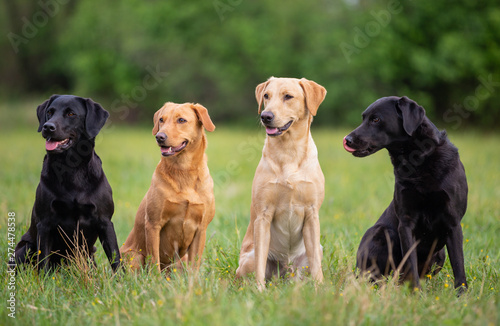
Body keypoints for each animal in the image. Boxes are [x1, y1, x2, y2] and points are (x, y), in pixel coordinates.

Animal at [14, 95, 121, 272]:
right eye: (50, 112)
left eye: (71, 114)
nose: (47, 126)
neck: (71, 168)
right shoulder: (45, 223)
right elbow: (43, 260)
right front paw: (44, 280)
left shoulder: (105, 221)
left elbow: (115, 257)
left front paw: (121, 278)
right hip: (25, 247)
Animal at [122, 103, 216, 272]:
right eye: (161, 119)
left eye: (181, 120)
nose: (159, 136)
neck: (184, 171)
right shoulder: (153, 224)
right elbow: (154, 262)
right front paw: (155, 279)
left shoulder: (201, 229)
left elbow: (195, 265)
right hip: (134, 257)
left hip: (181, 260)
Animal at [235, 77, 328, 290]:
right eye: (266, 96)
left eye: (288, 96)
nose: (265, 116)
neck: (289, 150)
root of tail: (286, 271)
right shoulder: (263, 216)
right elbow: (260, 264)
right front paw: (259, 291)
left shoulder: (312, 214)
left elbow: (316, 266)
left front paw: (320, 289)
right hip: (247, 259)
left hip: (315, 251)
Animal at [344, 95, 468, 294]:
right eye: (363, 118)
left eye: (376, 119)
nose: (347, 139)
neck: (419, 160)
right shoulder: (406, 222)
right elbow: (410, 262)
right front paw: (415, 293)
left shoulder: (453, 222)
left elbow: (458, 263)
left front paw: (462, 295)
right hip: (381, 232)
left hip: (439, 254)